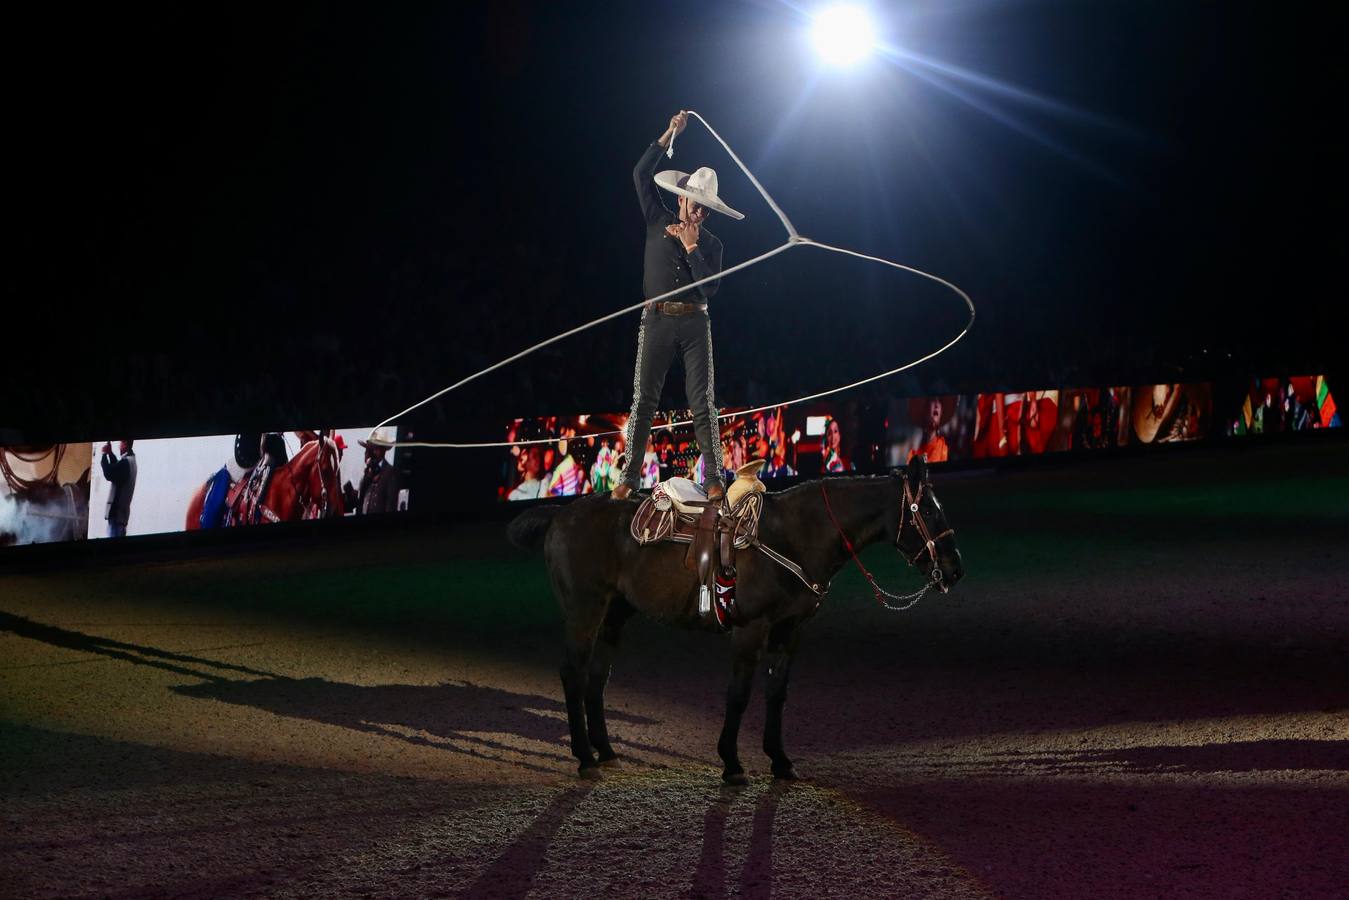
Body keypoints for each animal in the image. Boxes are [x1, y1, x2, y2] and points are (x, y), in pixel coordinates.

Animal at [507, 458, 960, 782]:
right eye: (926, 510)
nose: (955, 569)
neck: (790, 535)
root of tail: (561, 516)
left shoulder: (790, 631)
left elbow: (777, 693)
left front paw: (780, 761)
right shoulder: (751, 629)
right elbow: (739, 694)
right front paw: (732, 763)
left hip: (615, 614)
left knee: (597, 678)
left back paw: (606, 751)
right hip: (584, 611)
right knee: (573, 674)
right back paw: (585, 757)